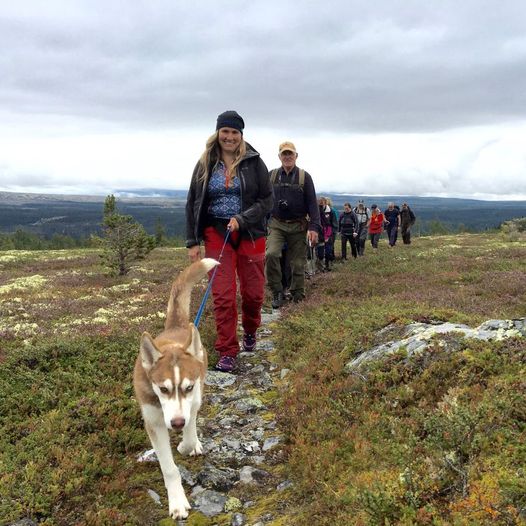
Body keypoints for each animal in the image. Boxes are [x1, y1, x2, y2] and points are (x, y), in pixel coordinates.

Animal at [136, 258, 221, 520]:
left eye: (188, 386)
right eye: (162, 389)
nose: (175, 424)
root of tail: (178, 324)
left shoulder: (192, 401)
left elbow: (190, 434)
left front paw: (186, 446)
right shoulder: (153, 422)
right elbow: (169, 468)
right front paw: (177, 502)